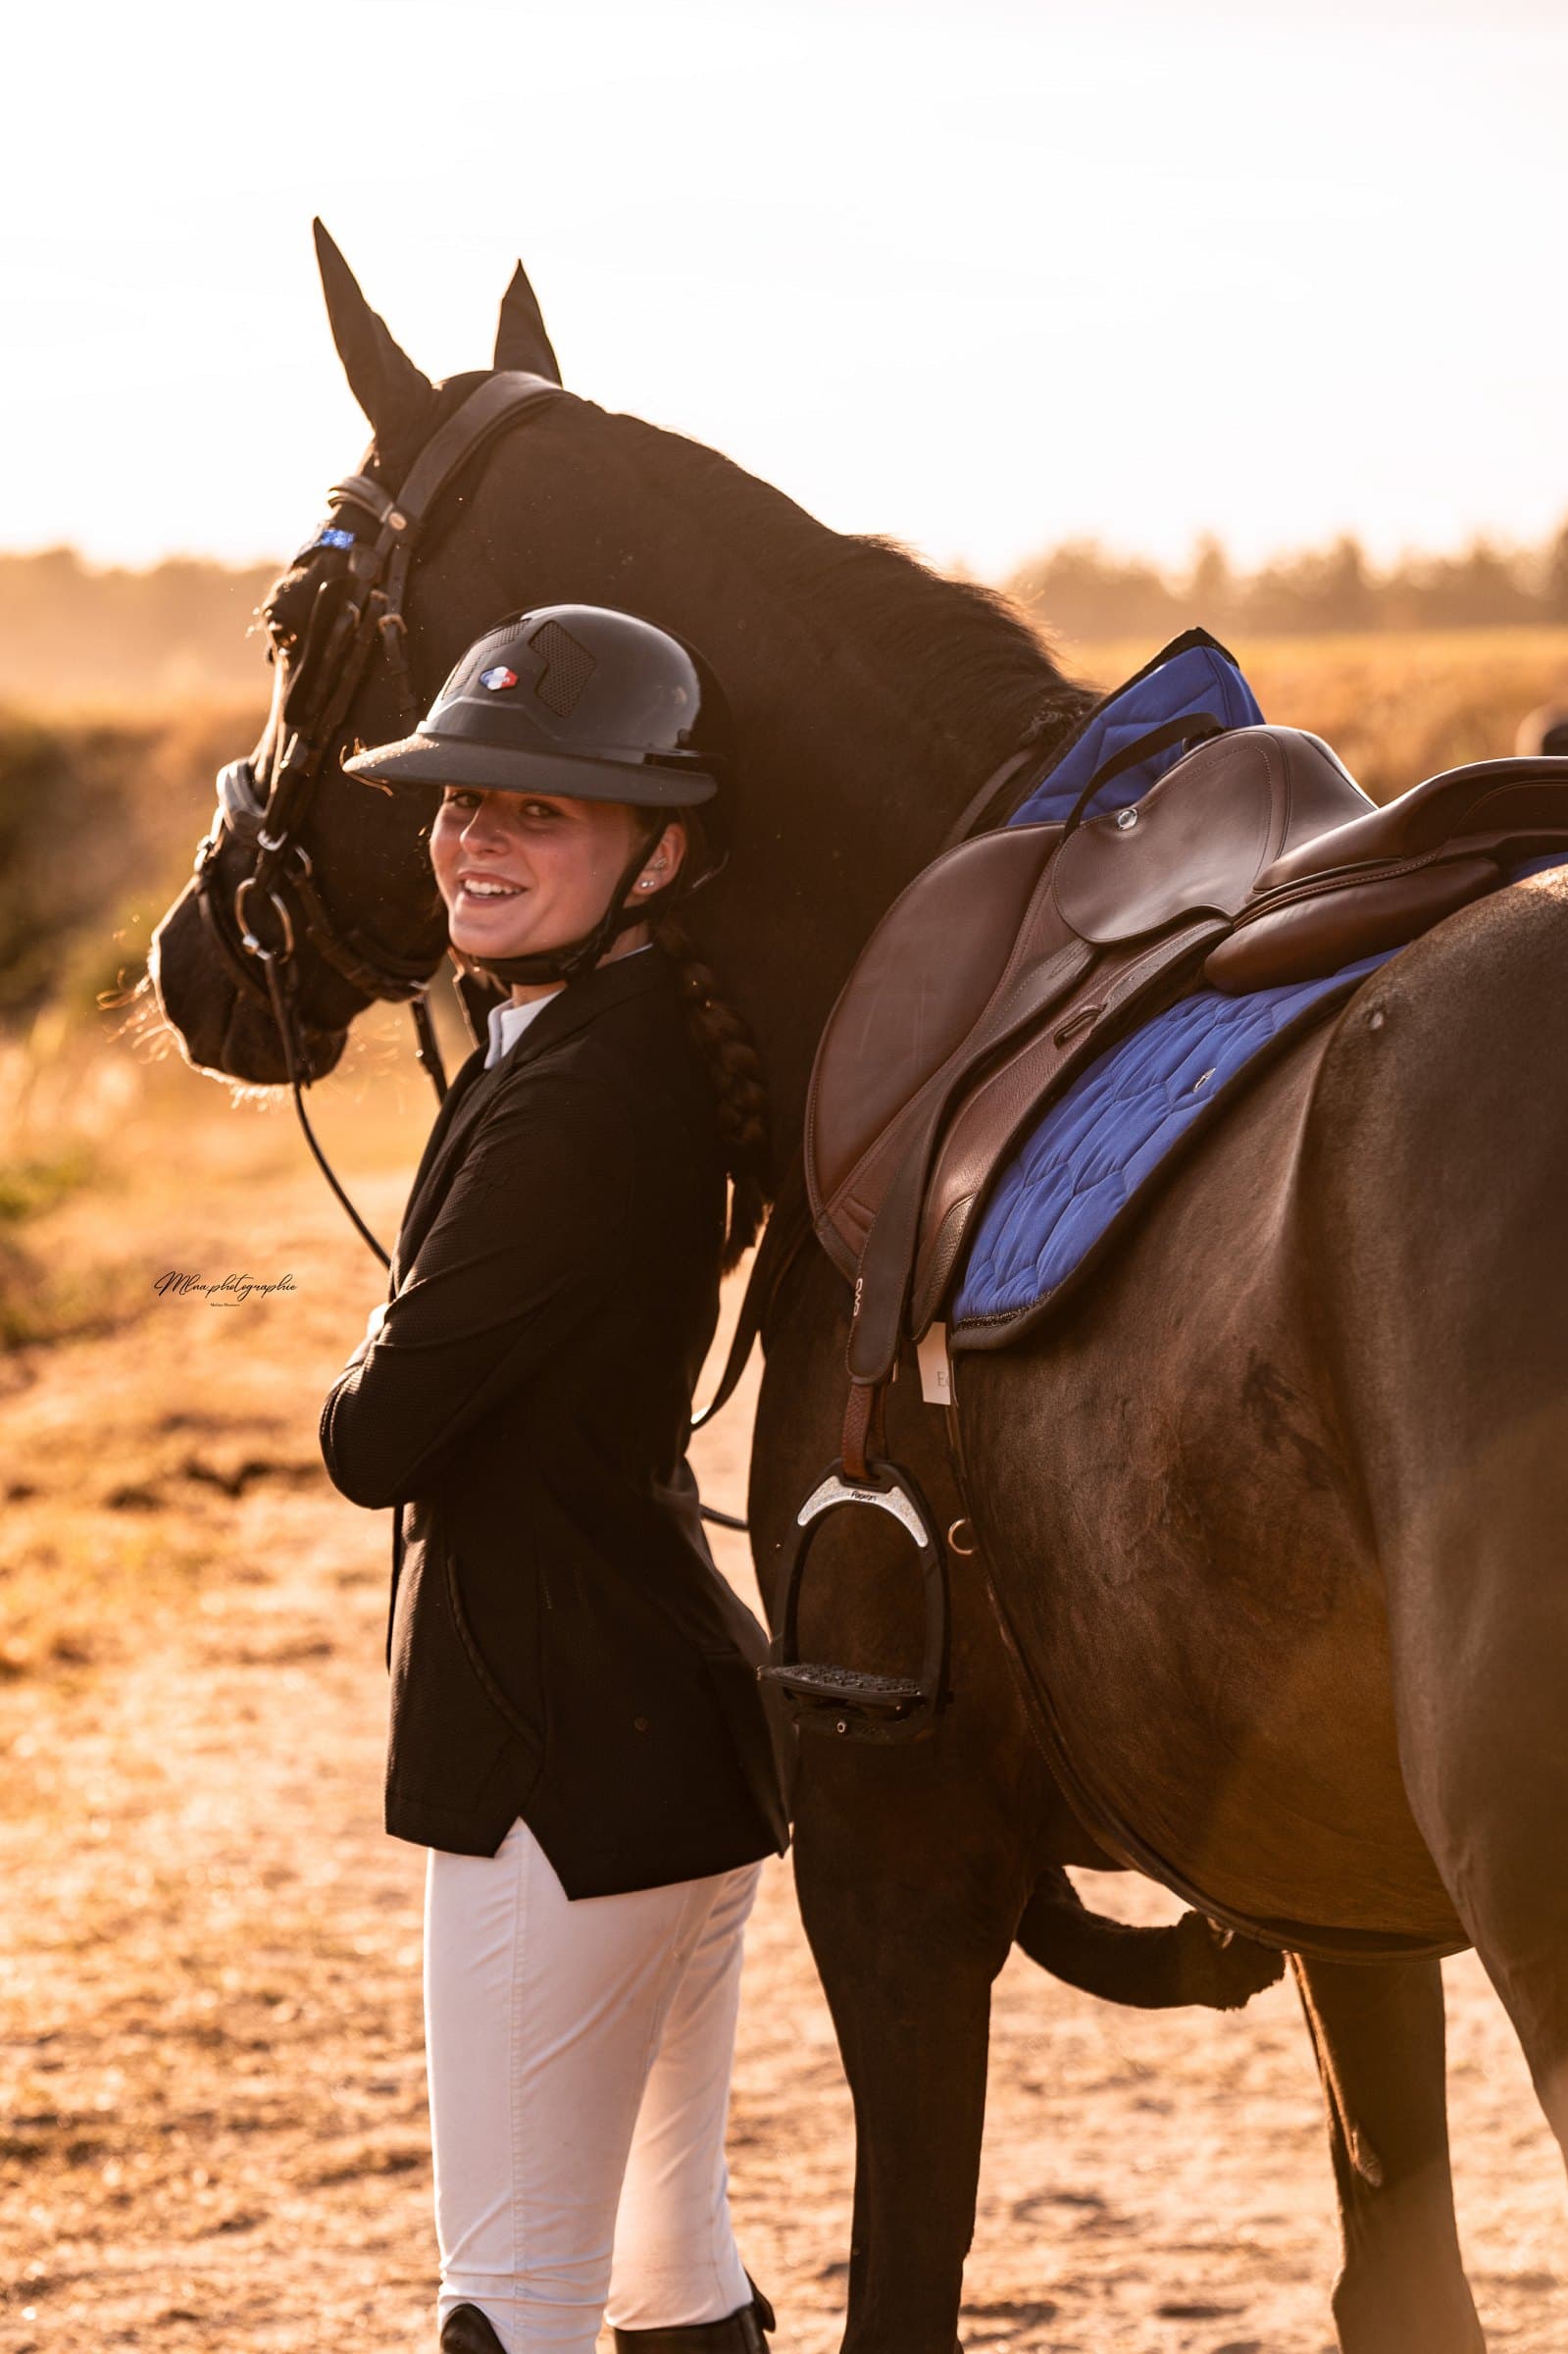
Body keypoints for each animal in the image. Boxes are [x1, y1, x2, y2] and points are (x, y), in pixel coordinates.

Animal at [146, 230, 1568, 2354]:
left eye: (290, 607)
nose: (184, 955)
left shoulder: (892, 1863)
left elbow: (899, 2285)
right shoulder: (1334, 1893)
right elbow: (1397, 2268)